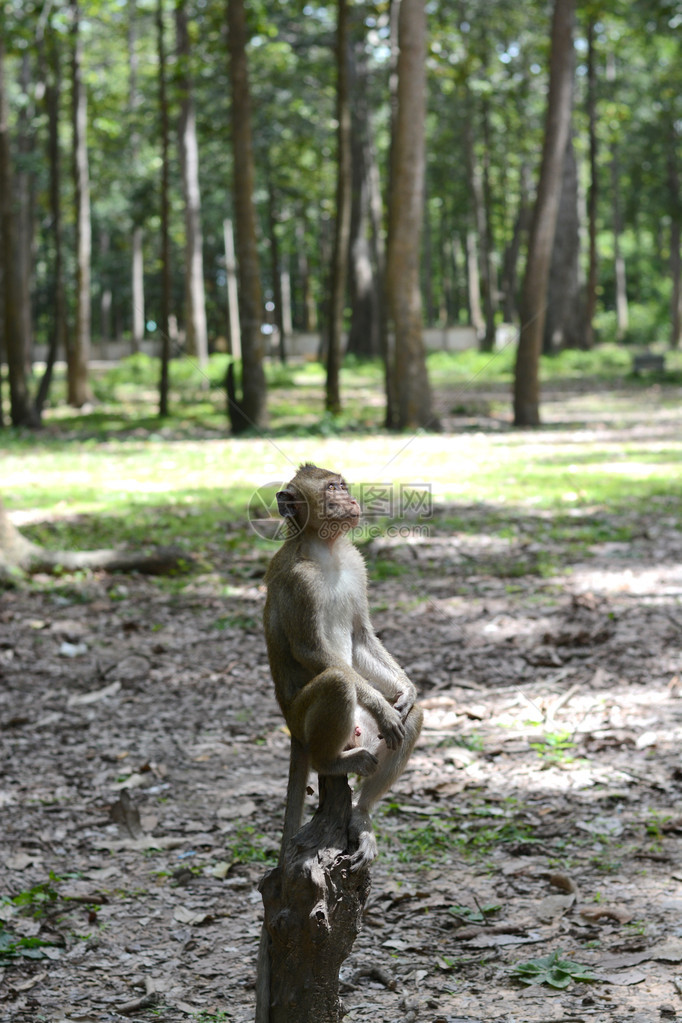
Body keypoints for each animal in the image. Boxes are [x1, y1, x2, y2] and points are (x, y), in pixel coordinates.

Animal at [265, 464, 421, 871]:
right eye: (331, 488)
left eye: (342, 485)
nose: (349, 500)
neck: (326, 550)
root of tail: (293, 731)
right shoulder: (300, 582)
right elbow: (313, 650)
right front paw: (383, 707)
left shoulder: (356, 564)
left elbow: (362, 637)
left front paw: (406, 691)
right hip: (304, 722)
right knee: (336, 681)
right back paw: (329, 761)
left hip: (360, 731)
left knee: (413, 718)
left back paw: (362, 815)